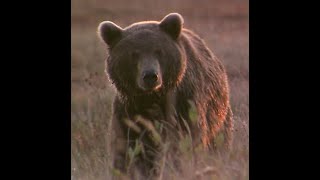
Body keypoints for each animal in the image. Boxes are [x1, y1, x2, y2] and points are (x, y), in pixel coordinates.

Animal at [97, 12, 232, 179]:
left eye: (159, 51)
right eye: (134, 54)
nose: (150, 76)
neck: (152, 97)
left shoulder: (184, 102)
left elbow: (185, 139)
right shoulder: (129, 109)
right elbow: (128, 147)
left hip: (219, 114)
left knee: (219, 142)